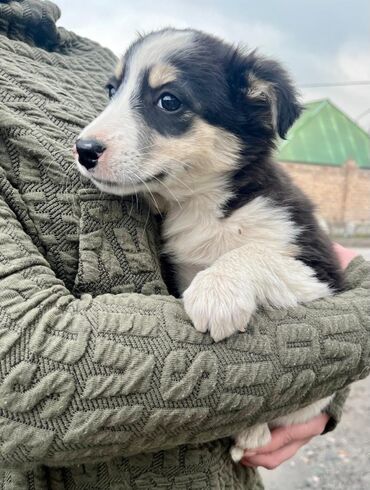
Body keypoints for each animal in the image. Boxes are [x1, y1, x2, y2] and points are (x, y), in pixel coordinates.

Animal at [74, 27, 344, 464]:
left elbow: (253, 251)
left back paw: (252, 432)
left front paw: (217, 294)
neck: (202, 205)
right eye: (112, 90)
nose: (83, 150)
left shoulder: (323, 272)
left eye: (169, 101)